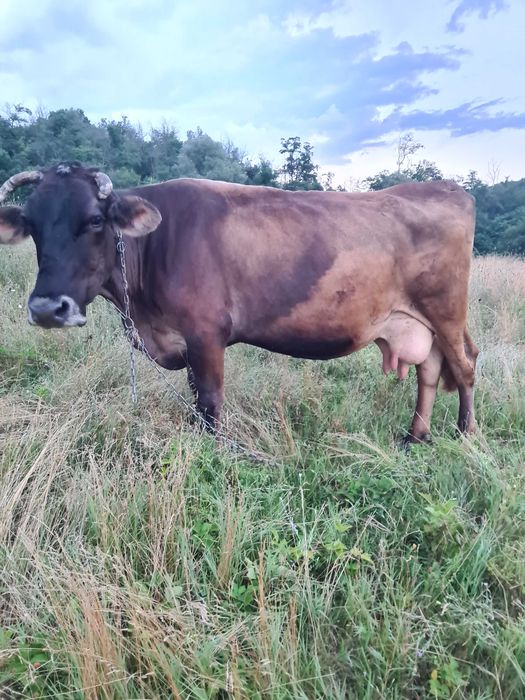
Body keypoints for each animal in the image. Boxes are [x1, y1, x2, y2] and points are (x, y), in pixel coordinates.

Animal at [0, 163, 478, 444]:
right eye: (31, 224)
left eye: (95, 220)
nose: (47, 309)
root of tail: (446, 188)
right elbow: (196, 397)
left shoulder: (206, 333)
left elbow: (210, 402)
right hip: (418, 322)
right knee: (430, 369)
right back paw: (416, 436)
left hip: (446, 311)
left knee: (465, 365)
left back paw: (465, 434)